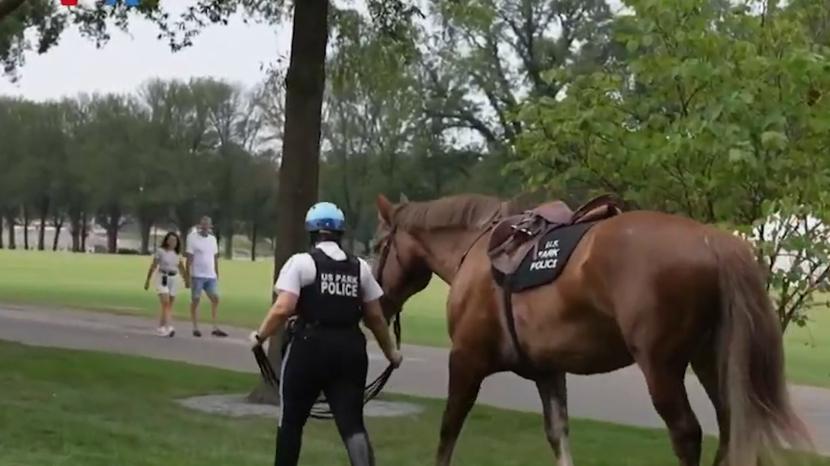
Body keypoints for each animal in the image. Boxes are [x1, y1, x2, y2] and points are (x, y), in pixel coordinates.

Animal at [374, 192, 816, 466]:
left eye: (379, 246)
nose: (378, 300)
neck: (479, 252)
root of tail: (713, 242)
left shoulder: (466, 359)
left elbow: (448, 429)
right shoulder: (547, 371)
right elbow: (558, 434)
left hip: (661, 366)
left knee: (687, 434)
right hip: (711, 360)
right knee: (731, 429)